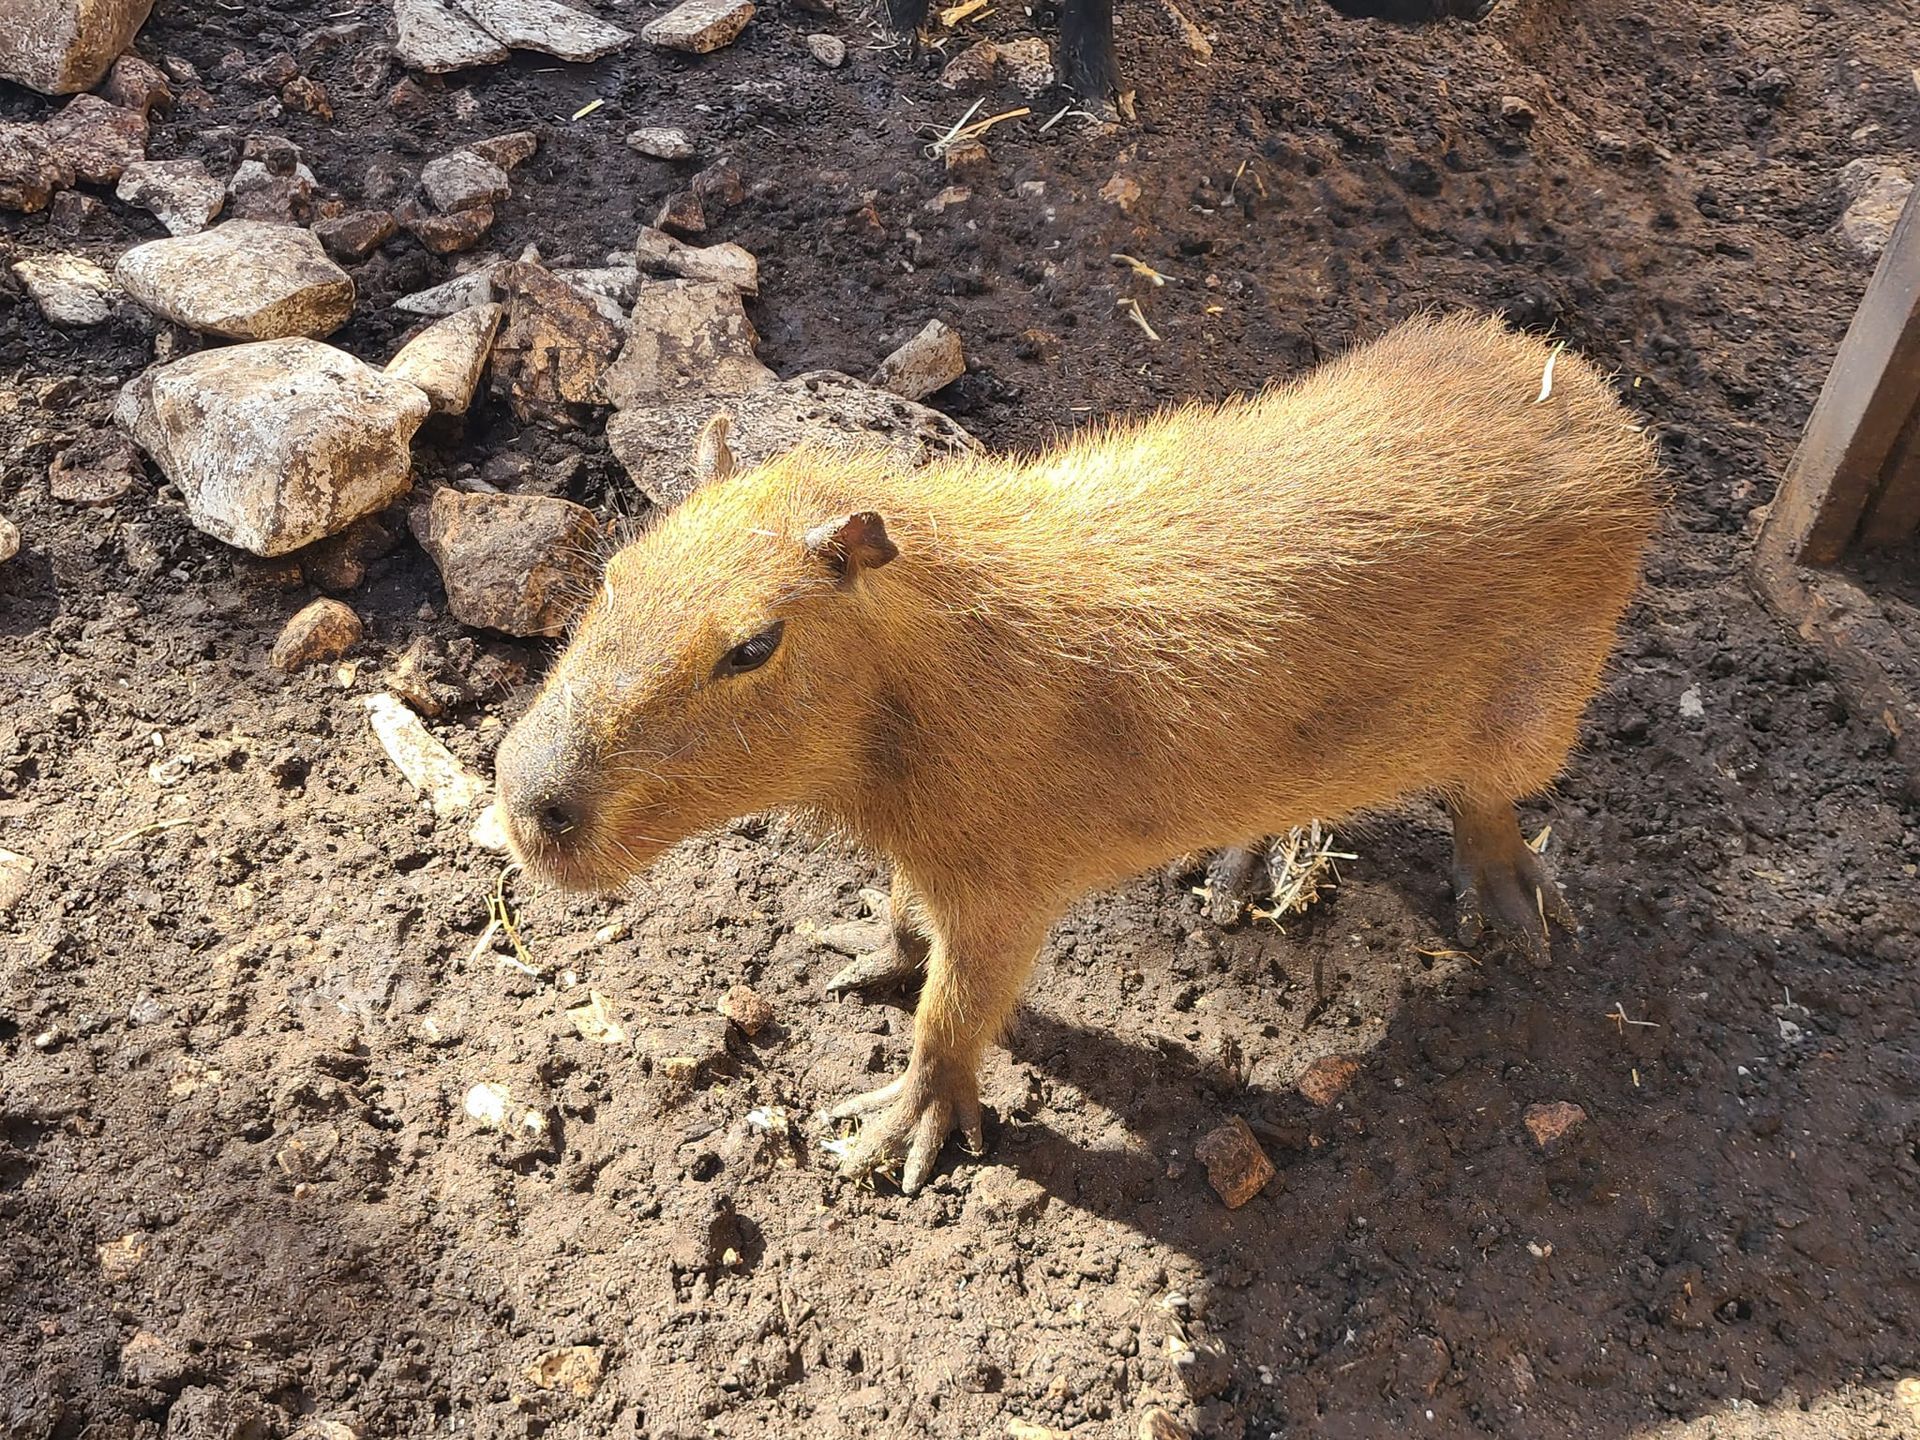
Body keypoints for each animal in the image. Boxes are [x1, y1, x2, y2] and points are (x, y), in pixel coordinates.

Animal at [494, 312, 1659, 1194]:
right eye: (618, 571)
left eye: (752, 646)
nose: (527, 801)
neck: (958, 645)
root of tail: (1600, 398)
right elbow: (904, 913)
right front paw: (858, 949)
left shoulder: (1010, 886)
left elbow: (957, 1011)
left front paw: (891, 1134)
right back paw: (1238, 876)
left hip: (1543, 706)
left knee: (1489, 807)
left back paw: (1514, 915)